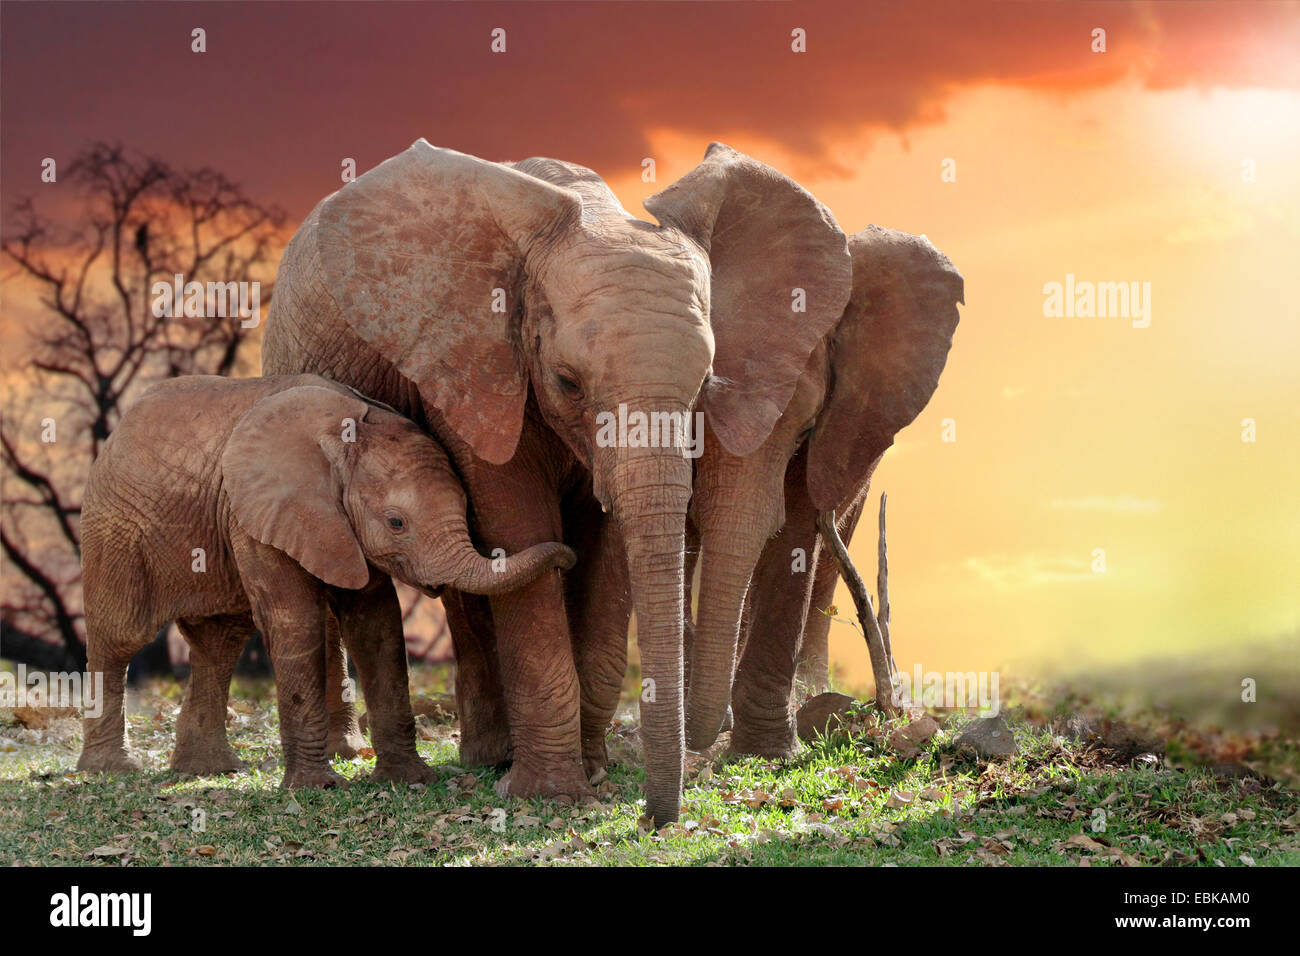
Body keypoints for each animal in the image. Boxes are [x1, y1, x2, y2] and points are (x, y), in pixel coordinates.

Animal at [76, 374, 574, 785]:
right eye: (396, 523)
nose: (567, 556)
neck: (349, 430)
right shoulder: (258, 513)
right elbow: (297, 622)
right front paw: (316, 787)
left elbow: (377, 624)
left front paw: (409, 780)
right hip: (112, 529)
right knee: (120, 636)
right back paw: (112, 770)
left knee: (219, 643)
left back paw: (207, 771)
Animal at [263, 140, 852, 822]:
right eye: (568, 382)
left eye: (706, 384)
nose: (656, 818)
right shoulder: (477, 361)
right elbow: (516, 517)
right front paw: (549, 794)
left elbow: (610, 546)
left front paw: (592, 771)